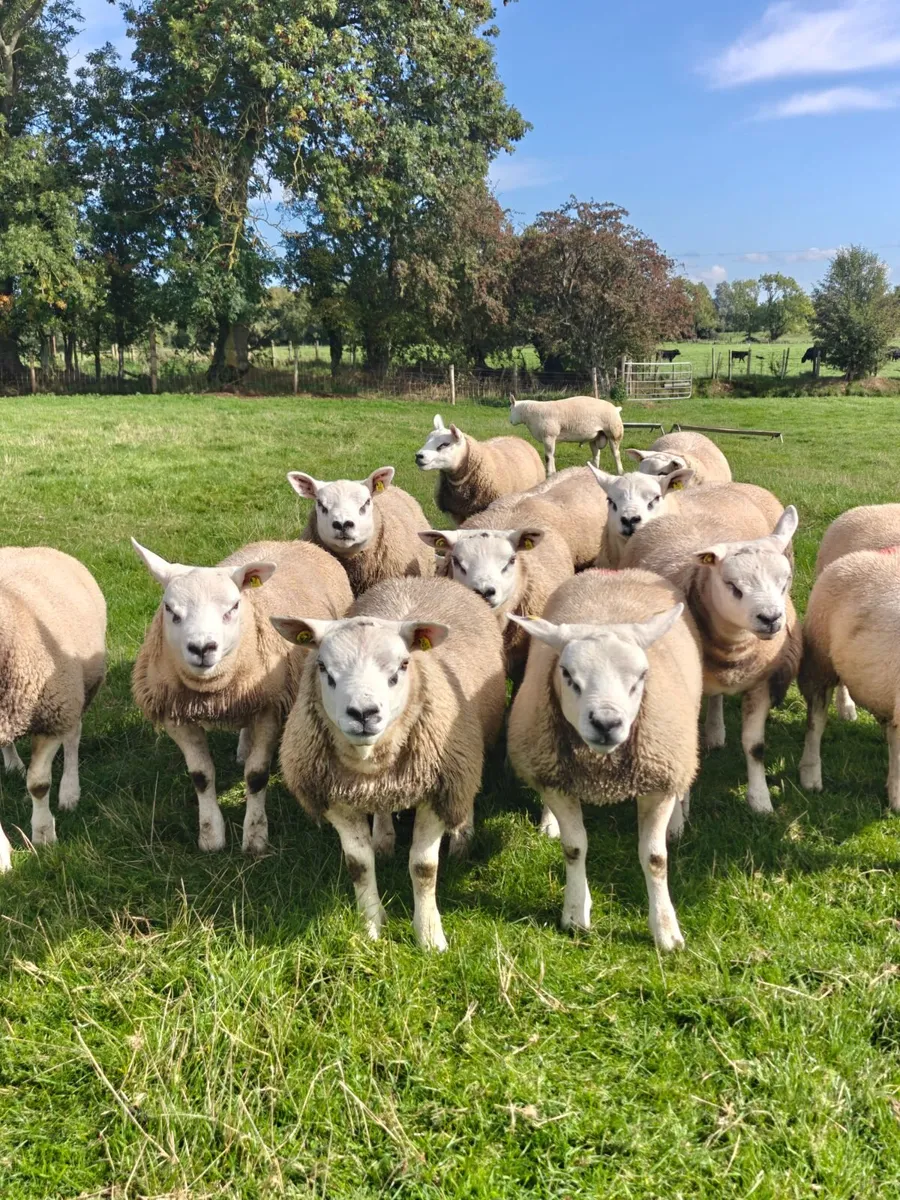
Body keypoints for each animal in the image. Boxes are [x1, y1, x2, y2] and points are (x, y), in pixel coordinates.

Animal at [0, 547, 106, 864]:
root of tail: (31, 547)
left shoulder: (52, 717)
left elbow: (38, 784)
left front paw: (44, 835)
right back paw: (13, 764)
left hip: (77, 693)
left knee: (73, 739)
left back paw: (70, 791)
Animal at [132, 538, 352, 854]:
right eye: (170, 609)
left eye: (234, 607)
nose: (202, 648)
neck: (210, 692)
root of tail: (290, 542)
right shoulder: (176, 714)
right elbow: (201, 776)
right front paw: (211, 835)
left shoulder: (270, 708)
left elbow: (256, 776)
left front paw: (255, 836)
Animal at [273, 575, 507, 950]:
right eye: (323, 667)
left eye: (403, 666)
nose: (363, 714)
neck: (370, 762)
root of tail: (423, 579)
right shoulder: (336, 799)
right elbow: (358, 865)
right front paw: (371, 926)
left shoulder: (438, 788)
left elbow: (424, 868)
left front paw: (429, 937)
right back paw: (383, 836)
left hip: (470, 745)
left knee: (466, 790)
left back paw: (462, 833)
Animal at [507, 569, 702, 951]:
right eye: (567, 674)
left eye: (641, 677)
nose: (606, 723)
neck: (601, 767)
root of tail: (614, 572)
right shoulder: (557, 781)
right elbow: (574, 848)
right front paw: (575, 913)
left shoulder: (658, 780)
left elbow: (655, 858)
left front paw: (666, 931)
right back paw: (548, 823)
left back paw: (677, 821)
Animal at [620, 500, 801, 816]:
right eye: (733, 586)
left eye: (785, 582)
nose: (770, 619)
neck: (735, 647)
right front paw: (683, 808)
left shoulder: (760, 683)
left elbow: (755, 746)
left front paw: (760, 800)